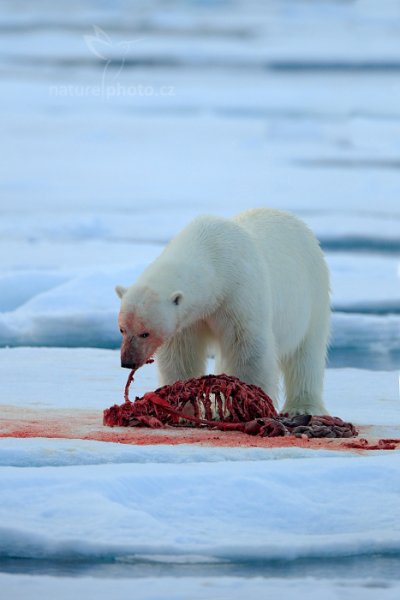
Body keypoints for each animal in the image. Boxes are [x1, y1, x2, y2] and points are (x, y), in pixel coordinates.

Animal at [115, 209, 332, 414]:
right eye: (122, 329)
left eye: (145, 333)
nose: (127, 361)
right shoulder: (189, 320)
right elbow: (181, 354)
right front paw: (182, 404)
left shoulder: (238, 294)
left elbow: (248, 349)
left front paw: (250, 401)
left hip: (313, 291)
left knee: (306, 353)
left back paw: (302, 407)